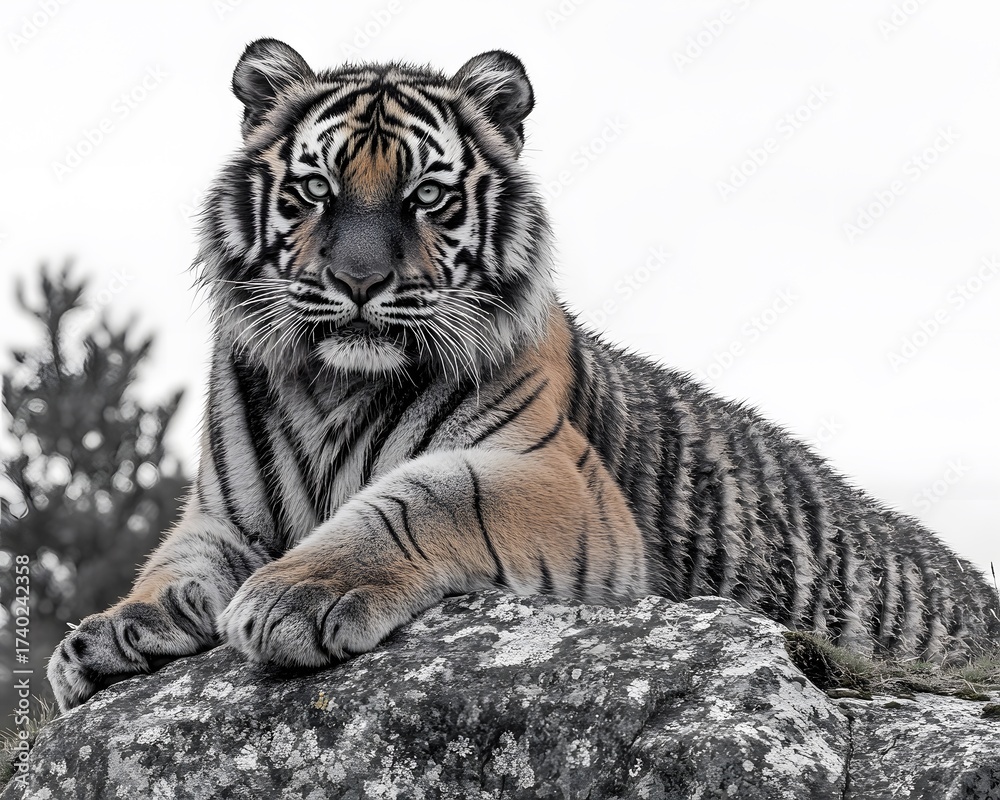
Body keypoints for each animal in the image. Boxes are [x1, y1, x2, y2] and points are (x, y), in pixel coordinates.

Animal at [48, 38, 1000, 712]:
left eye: (426, 197)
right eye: (317, 191)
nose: (359, 282)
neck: (335, 388)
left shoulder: (552, 476)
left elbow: (421, 497)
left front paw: (295, 595)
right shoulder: (222, 514)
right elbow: (173, 564)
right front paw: (107, 633)